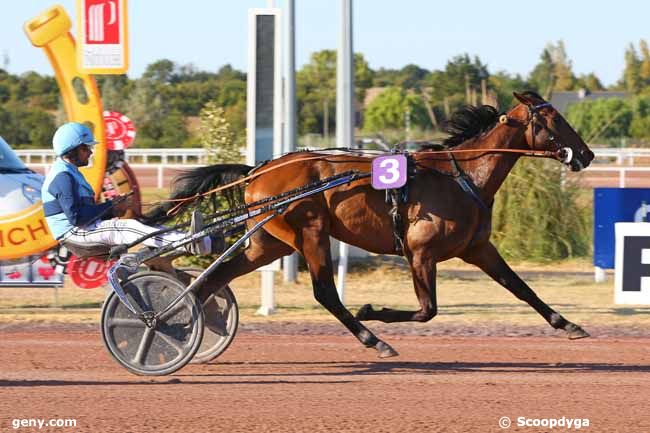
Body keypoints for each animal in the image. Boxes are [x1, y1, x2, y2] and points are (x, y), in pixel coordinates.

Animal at [146, 89, 592, 356]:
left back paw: (177, 325)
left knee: (214, 279)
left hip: (269, 242)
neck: (461, 177)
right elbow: (427, 311)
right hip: (310, 232)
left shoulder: (478, 248)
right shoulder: (420, 252)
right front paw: (371, 310)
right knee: (325, 292)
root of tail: (259, 170)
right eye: (553, 118)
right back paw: (373, 340)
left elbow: (520, 287)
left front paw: (568, 324)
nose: (586, 154)